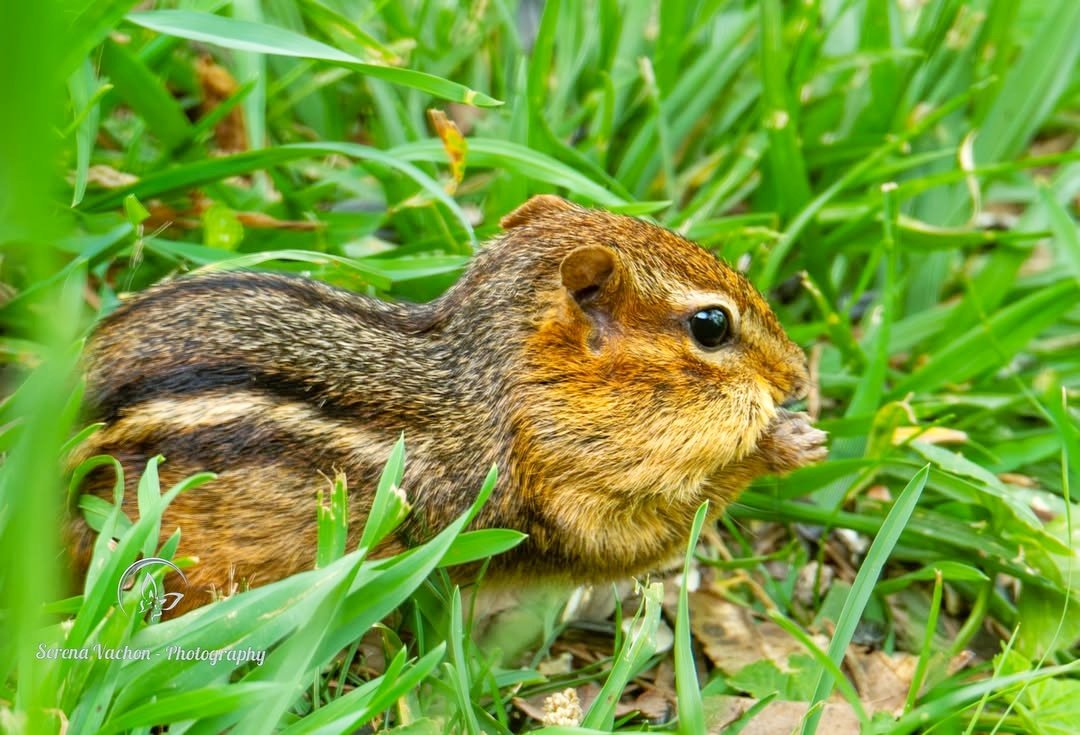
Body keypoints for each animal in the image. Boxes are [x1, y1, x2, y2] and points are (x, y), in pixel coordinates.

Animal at [68, 195, 827, 615]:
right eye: (711, 326)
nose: (796, 375)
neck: (498, 390)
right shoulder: (561, 508)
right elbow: (650, 534)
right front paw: (784, 443)